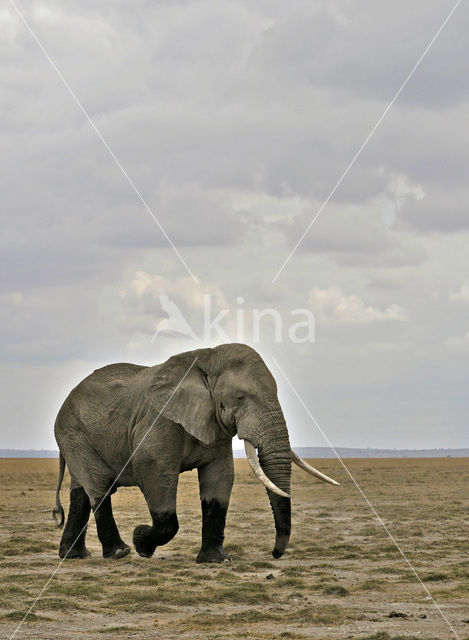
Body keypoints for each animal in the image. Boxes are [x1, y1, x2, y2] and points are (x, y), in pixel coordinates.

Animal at [53, 344, 336, 560]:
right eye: (241, 398)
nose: (275, 554)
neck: (206, 358)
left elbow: (220, 478)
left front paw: (216, 560)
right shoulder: (160, 420)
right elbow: (154, 470)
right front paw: (141, 543)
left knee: (81, 493)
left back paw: (74, 556)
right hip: (73, 433)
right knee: (99, 487)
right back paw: (120, 552)